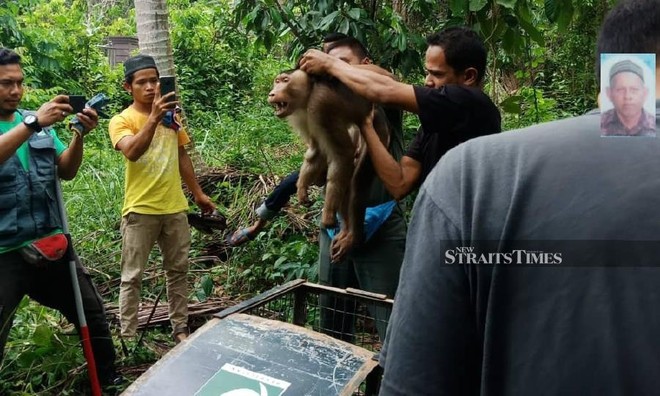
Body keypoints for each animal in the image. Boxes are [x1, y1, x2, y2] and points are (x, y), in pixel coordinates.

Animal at [268, 69, 390, 262]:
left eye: (285, 81)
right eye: (276, 81)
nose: (272, 93)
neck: (308, 95)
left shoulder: (320, 105)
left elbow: (342, 154)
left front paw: (328, 217)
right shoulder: (305, 116)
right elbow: (315, 151)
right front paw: (301, 188)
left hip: (377, 130)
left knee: (357, 180)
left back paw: (354, 236)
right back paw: (346, 230)